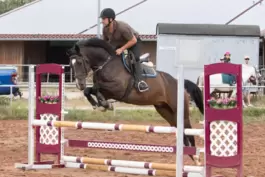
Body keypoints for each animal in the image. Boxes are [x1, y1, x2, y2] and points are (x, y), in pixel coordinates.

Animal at [66, 37, 202, 165]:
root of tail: (179, 82)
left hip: (180, 111)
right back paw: (191, 156)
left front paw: (105, 104)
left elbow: (96, 88)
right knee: (182, 133)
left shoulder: (117, 89)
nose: (79, 84)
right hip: (165, 111)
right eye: (71, 65)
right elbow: (89, 91)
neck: (106, 64)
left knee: (189, 131)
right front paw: (100, 105)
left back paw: (196, 158)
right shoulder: (107, 92)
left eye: (79, 62)